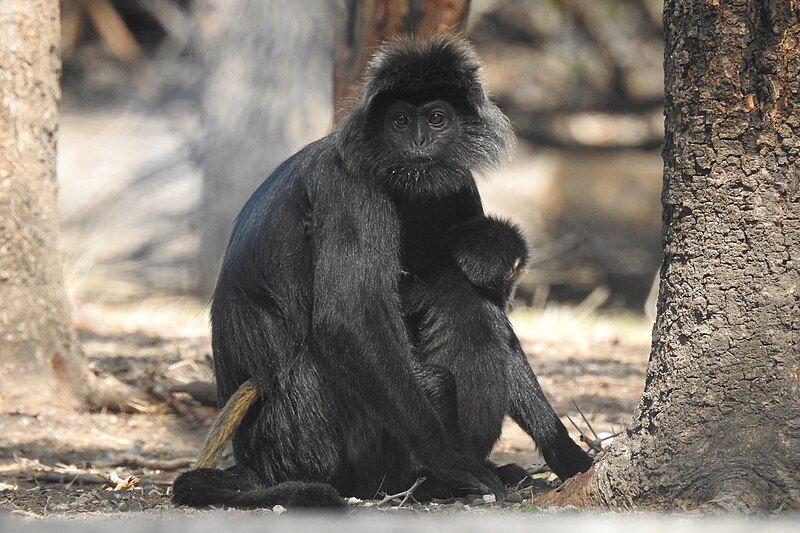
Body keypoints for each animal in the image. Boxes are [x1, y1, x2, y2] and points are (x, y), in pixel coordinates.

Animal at [173, 35, 588, 510]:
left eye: (437, 118)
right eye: (401, 121)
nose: (420, 140)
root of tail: (257, 462)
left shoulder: (458, 181)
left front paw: (566, 452)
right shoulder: (349, 186)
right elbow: (352, 318)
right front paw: (452, 464)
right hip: (304, 428)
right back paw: (421, 482)